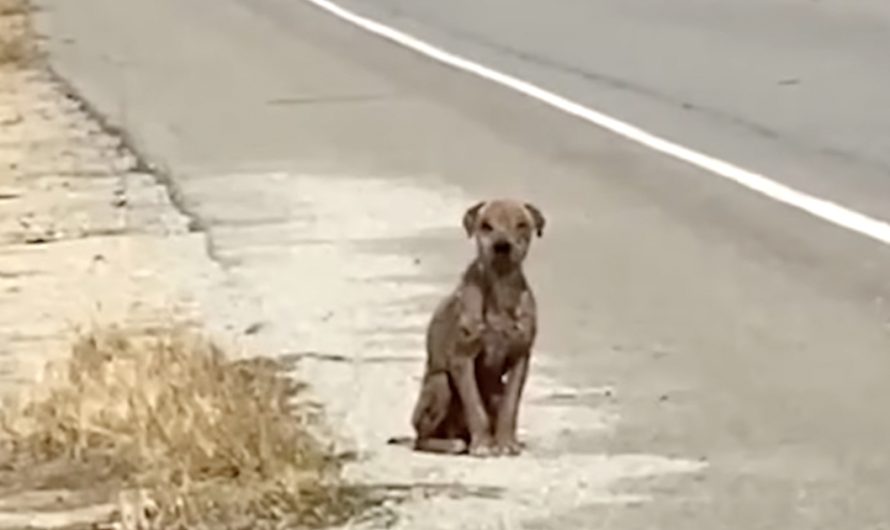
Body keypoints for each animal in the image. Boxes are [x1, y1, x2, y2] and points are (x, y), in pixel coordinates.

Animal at [406, 198, 544, 454]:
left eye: (521, 225)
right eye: (486, 225)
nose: (502, 246)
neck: (500, 290)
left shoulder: (520, 358)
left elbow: (510, 407)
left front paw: (506, 442)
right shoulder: (463, 359)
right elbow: (475, 407)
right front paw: (482, 444)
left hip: (494, 388)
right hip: (440, 383)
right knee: (422, 439)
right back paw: (453, 443)